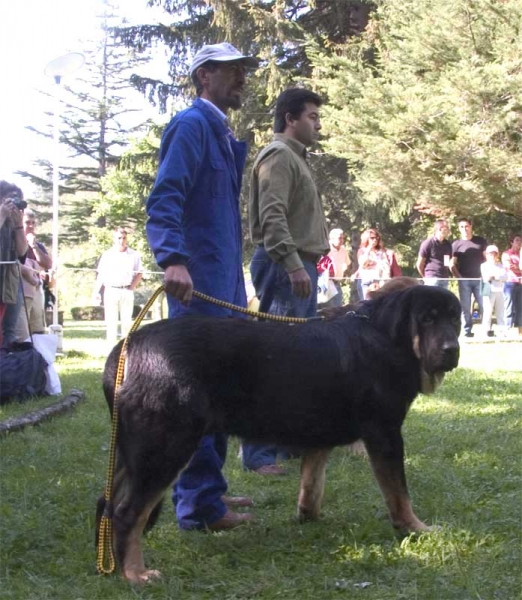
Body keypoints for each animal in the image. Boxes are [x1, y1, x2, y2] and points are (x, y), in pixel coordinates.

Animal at [97, 284, 460, 580]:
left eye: (455, 320)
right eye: (427, 319)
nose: (451, 349)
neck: (387, 338)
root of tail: (125, 348)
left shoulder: (320, 436)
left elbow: (311, 485)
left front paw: (308, 518)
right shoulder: (385, 435)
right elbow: (399, 494)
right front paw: (416, 528)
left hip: (132, 454)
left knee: (107, 505)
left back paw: (110, 564)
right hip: (166, 447)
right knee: (127, 513)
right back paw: (136, 574)